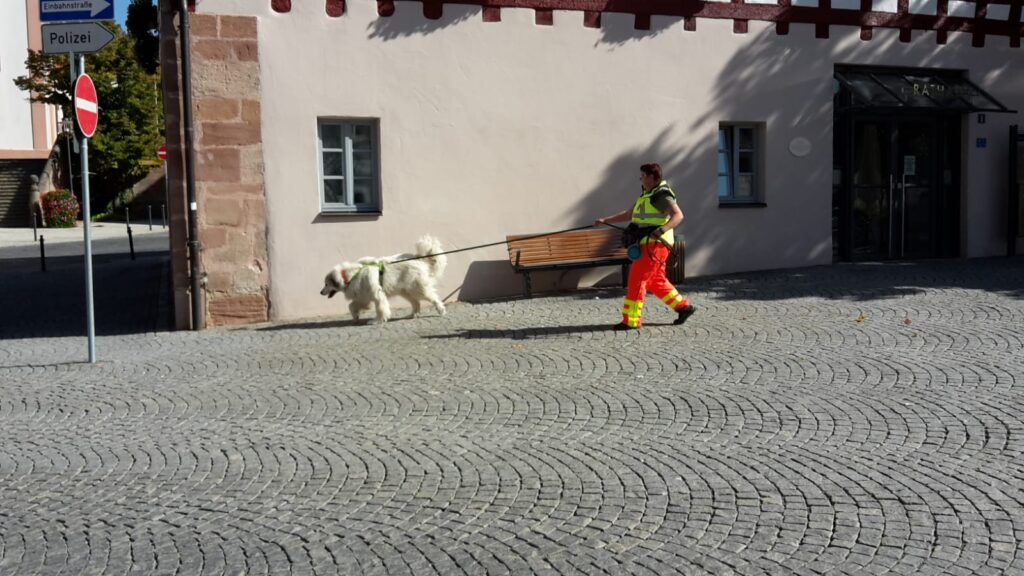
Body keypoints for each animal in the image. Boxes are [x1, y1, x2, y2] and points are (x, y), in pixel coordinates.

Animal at [319, 234, 448, 323]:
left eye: (326, 284)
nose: (320, 292)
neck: (351, 275)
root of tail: (419, 258)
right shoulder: (363, 297)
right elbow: (351, 306)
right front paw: (355, 316)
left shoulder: (376, 294)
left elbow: (380, 308)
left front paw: (378, 320)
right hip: (405, 291)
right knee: (416, 303)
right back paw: (412, 315)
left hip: (417, 288)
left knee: (433, 298)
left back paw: (441, 310)